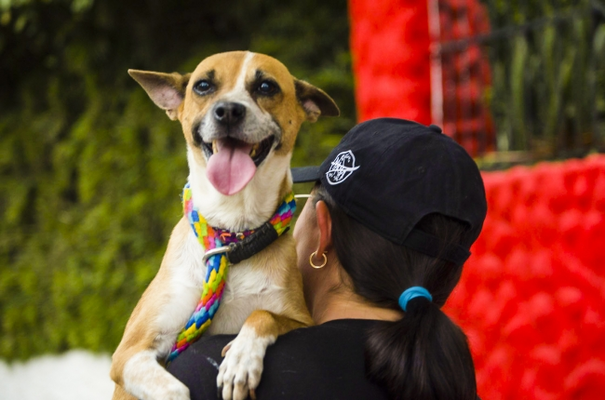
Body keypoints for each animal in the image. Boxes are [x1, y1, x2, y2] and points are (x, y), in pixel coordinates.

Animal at [109, 50, 340, 400]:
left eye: (266, 86)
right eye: (203, 85)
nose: (228, 110)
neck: (233, 234)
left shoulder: (302, 322)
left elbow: (263, 314)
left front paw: (241, 359)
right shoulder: (128, 353)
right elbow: (170, 389)